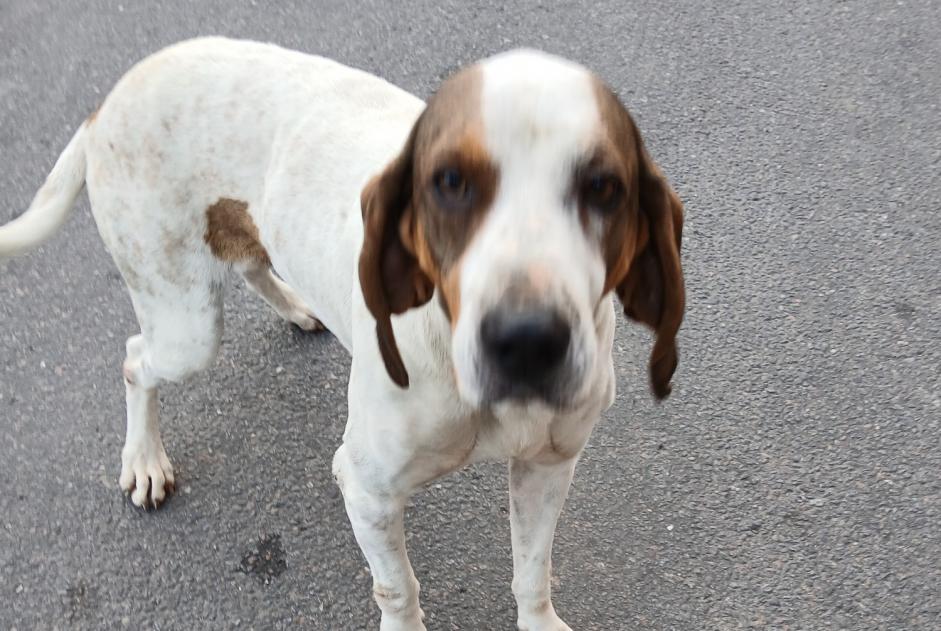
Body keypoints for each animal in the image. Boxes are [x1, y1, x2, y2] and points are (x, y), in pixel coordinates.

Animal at [3, 37, 688, 628]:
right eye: (449, 183)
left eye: (604, 187)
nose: (527, 341)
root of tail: (105, 104)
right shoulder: (367, 490)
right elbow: (398, 587)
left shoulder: (547, 466)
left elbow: (533, 570)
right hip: (185, 329)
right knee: (133, 357)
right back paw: (144, 458)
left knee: (250, 262)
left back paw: (296, 306)